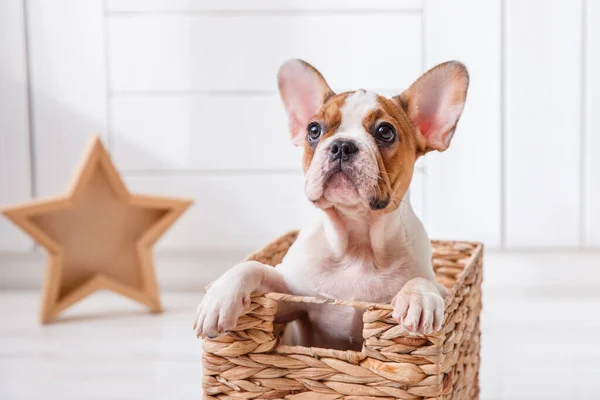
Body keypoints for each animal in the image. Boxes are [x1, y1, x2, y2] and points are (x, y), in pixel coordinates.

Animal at [192, 58, 468, 350]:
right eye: (314, 130)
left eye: (385, 131)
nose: (342, 146)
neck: (356, 241)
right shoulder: (290, 300)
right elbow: (252, 267)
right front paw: (219, 298)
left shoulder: (442, 288)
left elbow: (427, 282)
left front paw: (419, 297)